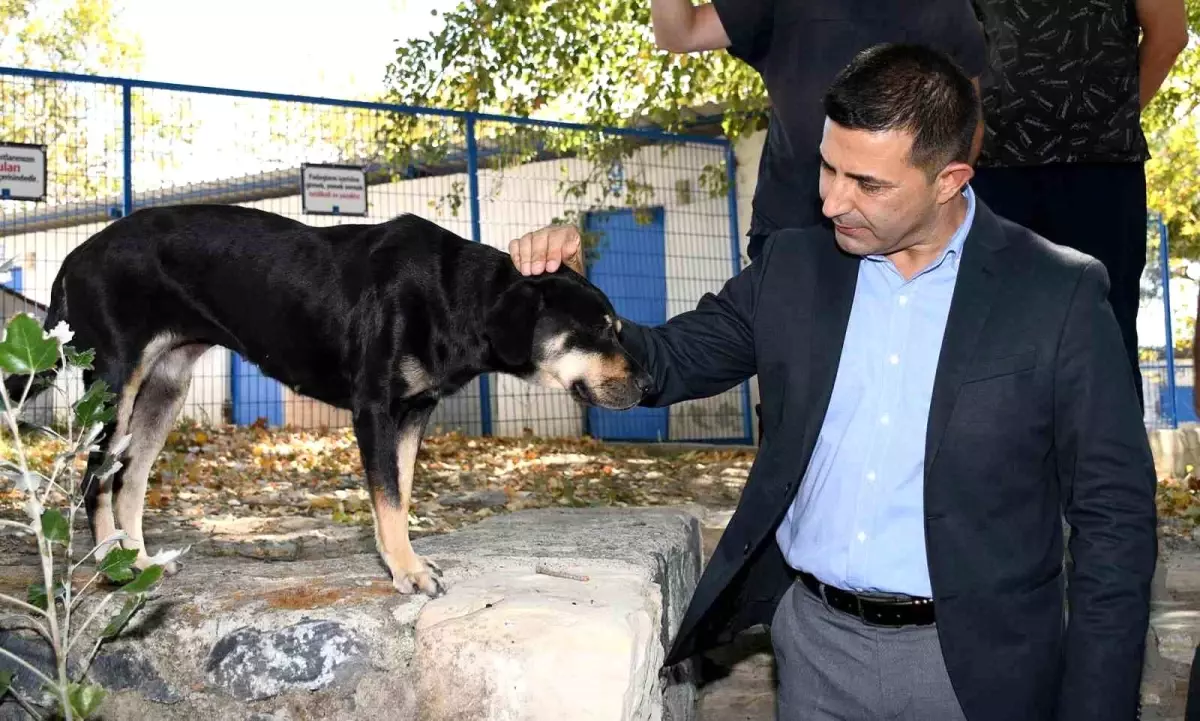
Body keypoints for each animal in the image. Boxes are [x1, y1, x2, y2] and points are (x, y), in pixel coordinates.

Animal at [9, 203, 652, 595]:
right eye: (600, 329)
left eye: (617, 328)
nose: (648, 385)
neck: (451, 297)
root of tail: (72, 257)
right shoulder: (374, 411)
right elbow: (388, 498)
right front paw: (409, 573)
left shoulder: (412, 414)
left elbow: (398, 496)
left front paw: (397, 562)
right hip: (114, 383)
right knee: (94, 479)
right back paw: (109, 564)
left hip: (163, 389)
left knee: (130, 479)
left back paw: (137, 561)